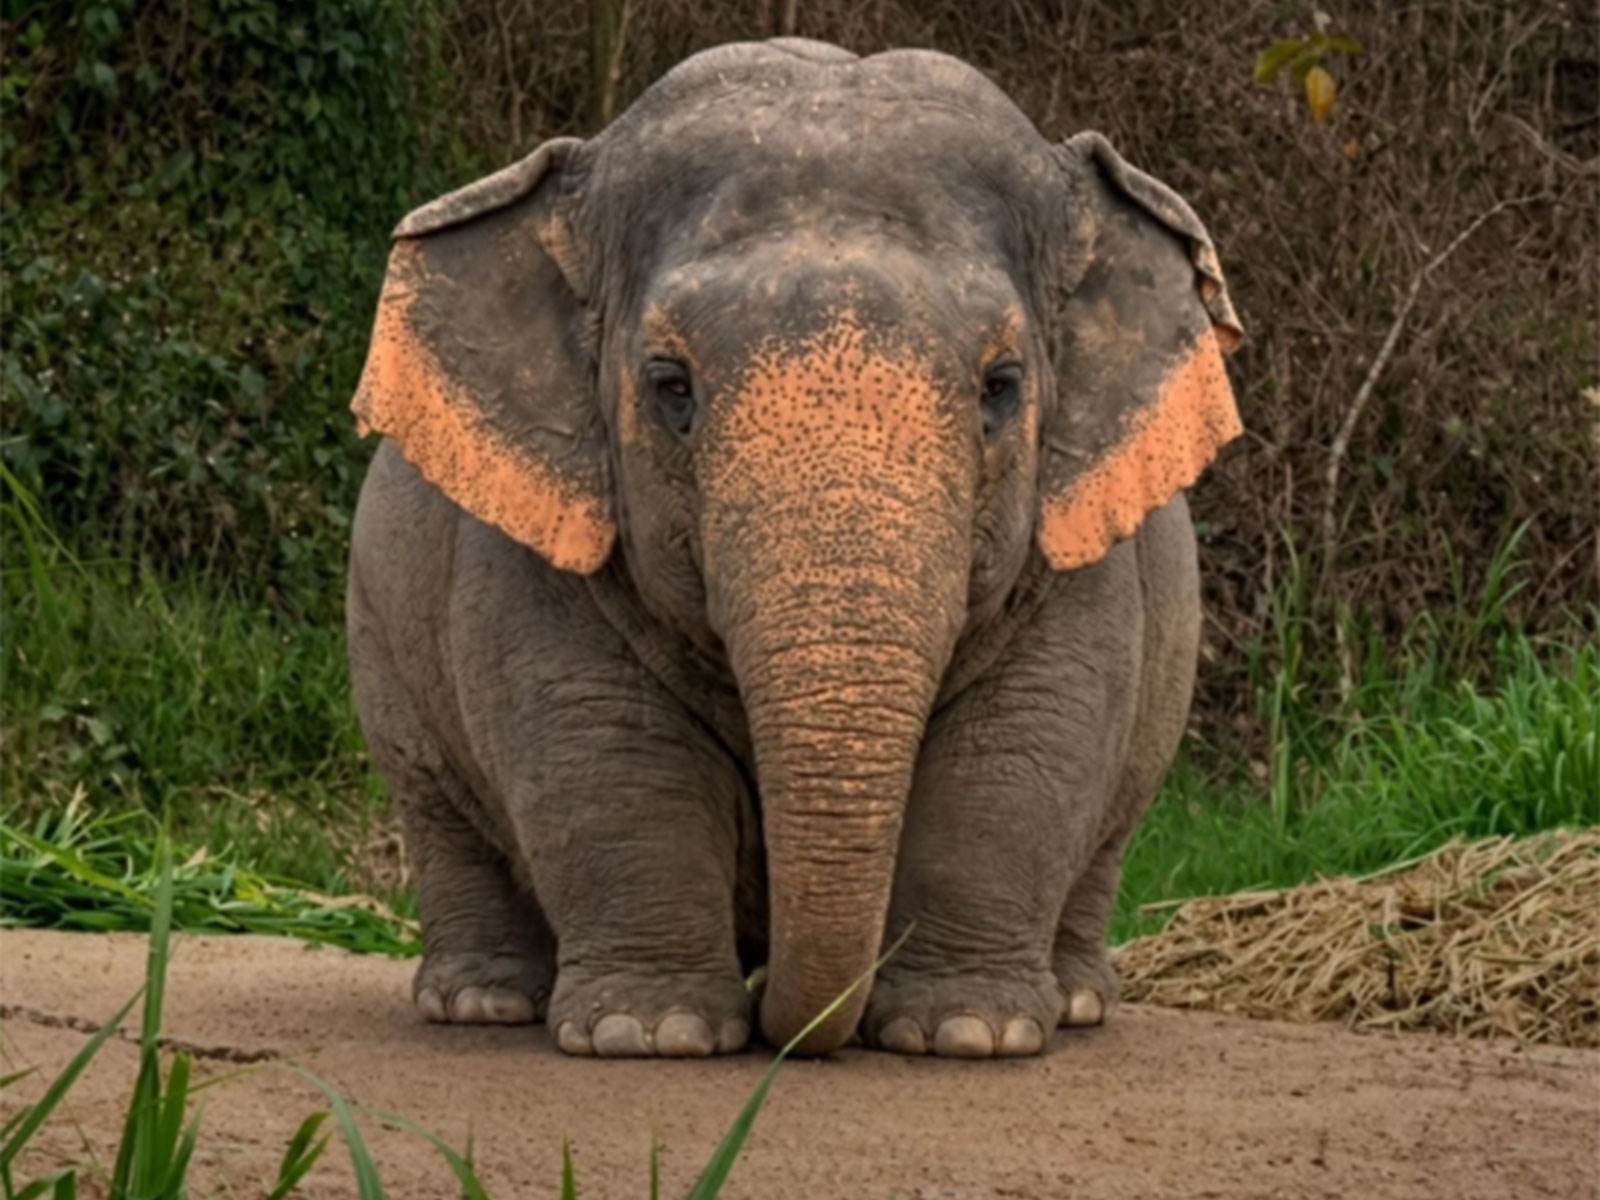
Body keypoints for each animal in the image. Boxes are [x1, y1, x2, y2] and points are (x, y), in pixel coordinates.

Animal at [345, 38, 1242, 1060]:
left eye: (1002, 385)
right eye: (671, 386)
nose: (791, 1021)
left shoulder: (1077, 544)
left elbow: (1021, 746)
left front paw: (968, 1032)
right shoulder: (536, 541)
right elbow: (604, 748)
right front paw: (647, 1033)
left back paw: (1081, 1001)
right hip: (380, 646)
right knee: (440, 808)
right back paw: (482, 1003)